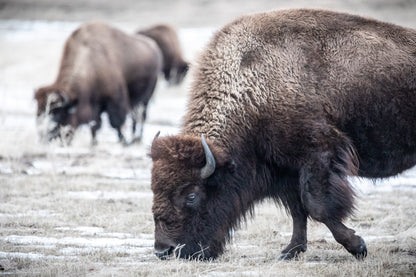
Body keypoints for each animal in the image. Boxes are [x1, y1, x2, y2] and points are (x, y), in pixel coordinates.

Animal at [34, 21, 162, 144]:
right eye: (38, 113)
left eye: (58, 113)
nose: (45, 138)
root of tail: (153, 46)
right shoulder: (94, 105)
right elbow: (95, 125)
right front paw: (94, 142)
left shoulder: (115, 100)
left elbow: (115, 123)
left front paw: (123, 141)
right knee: (135, 117)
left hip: (146, 98)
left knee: (141, 116)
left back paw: (137, 138)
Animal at [150, 8, 416, 258]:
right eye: (154, 189)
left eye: (192, 195)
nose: (164, 250)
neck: (251, 87)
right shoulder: (286, 171)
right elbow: (298, 210)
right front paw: (290, 251)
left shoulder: (319, 154)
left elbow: (317, 207)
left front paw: (357, 246)